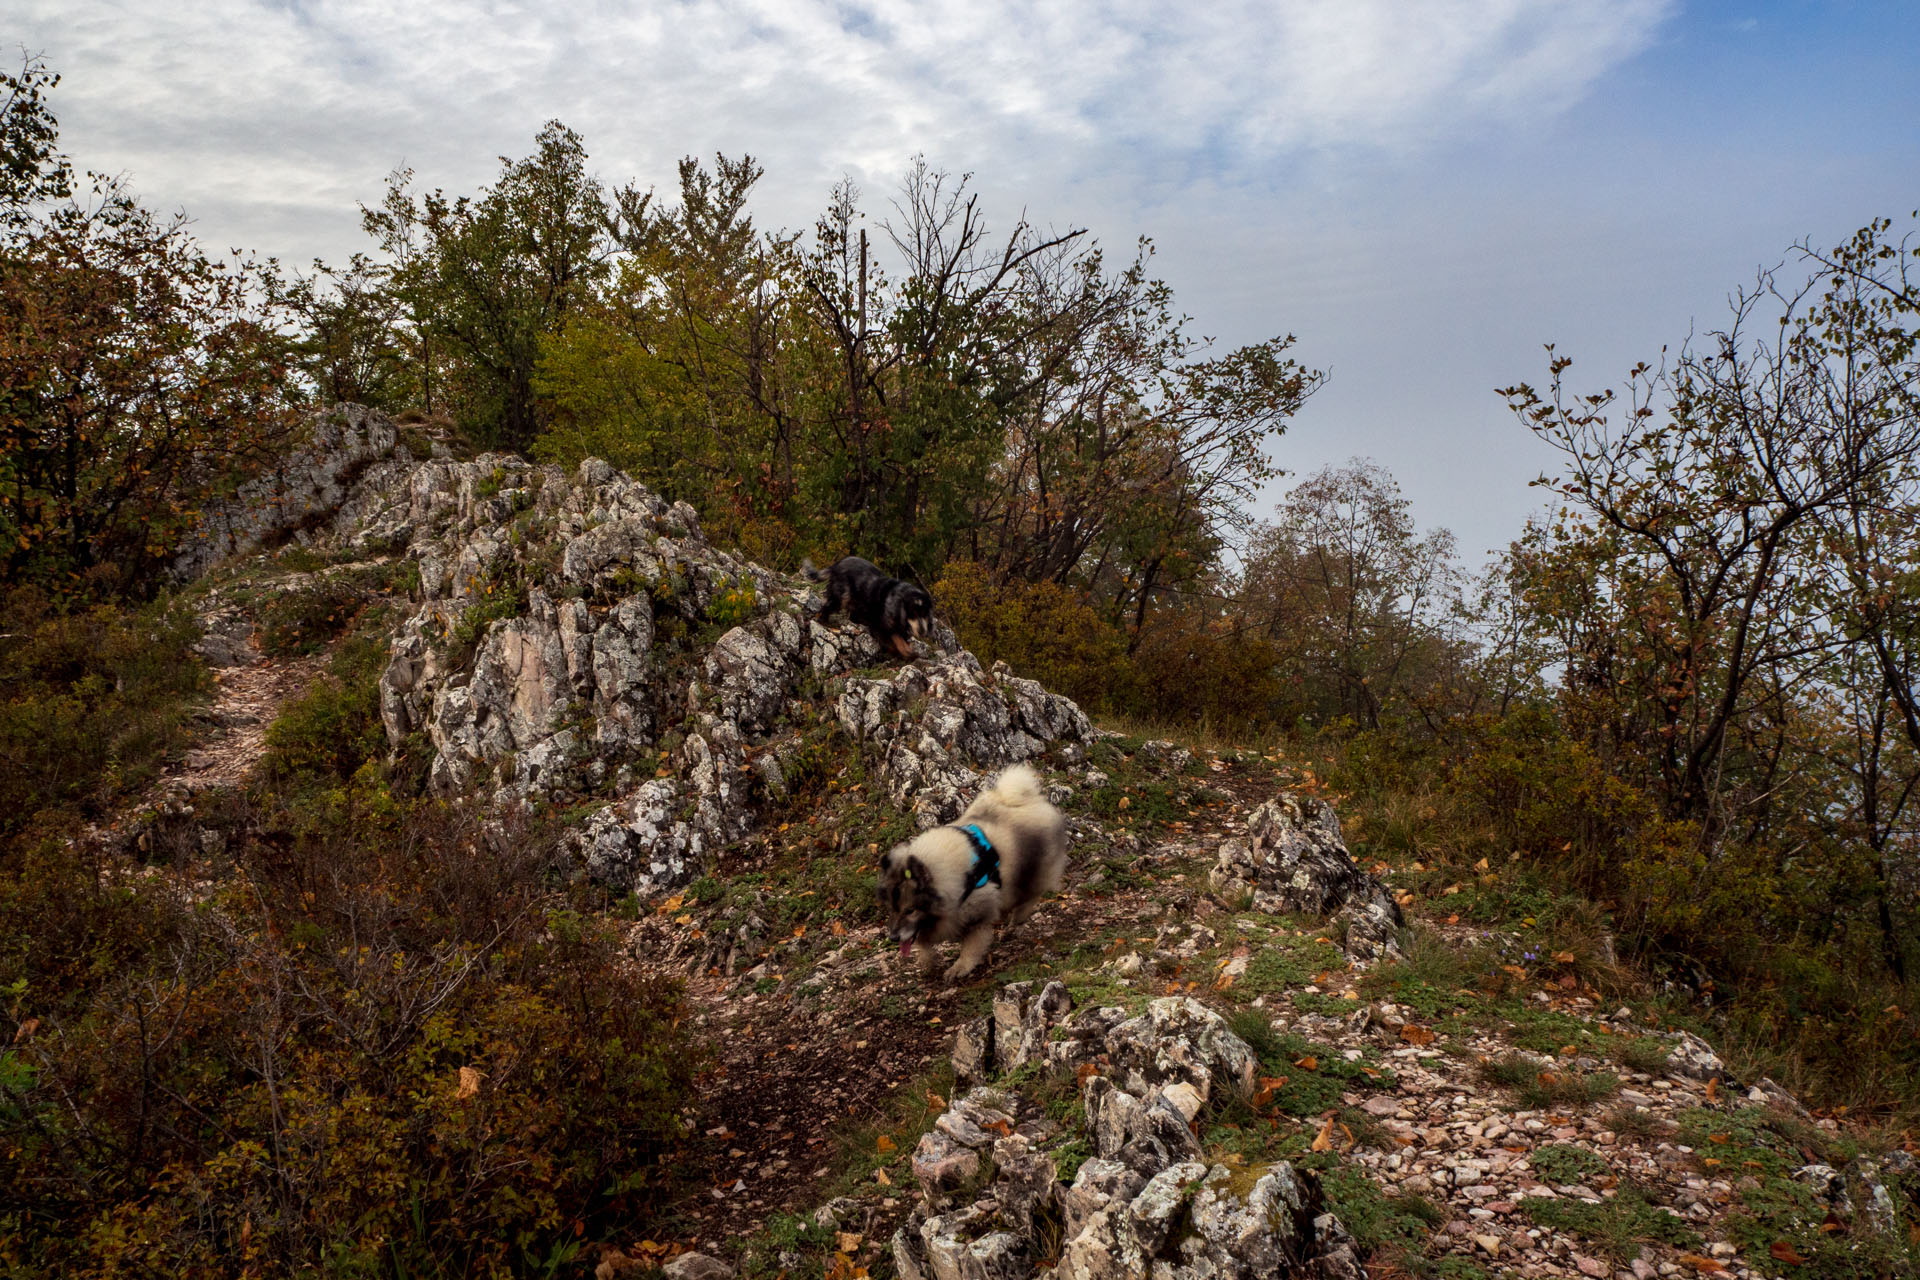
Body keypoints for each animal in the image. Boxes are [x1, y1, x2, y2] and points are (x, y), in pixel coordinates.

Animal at [802, 556, 936, 660]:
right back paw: (824, 621)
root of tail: (836, 564)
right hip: (842, 595)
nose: (922, 632)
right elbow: (896, 641)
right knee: (828, 606)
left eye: (925, 614)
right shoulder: (881, 625)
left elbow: (901, 640)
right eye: (913, 613)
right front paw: (907, 653)